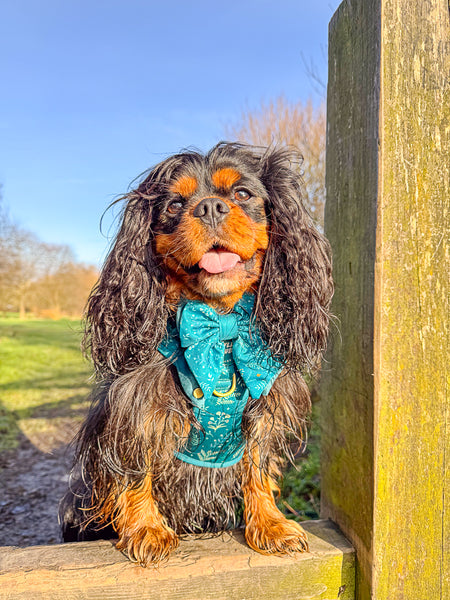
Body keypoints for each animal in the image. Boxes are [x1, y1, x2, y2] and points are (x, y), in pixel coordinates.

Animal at [60, 143, 334, 564]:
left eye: (242, 194)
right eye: (174, 204)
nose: (209, 207)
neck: (219, 323)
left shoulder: (264, 408)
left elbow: (258, 466)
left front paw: (270, 524)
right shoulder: (136, 408)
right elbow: (136, 470)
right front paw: (147, 529)